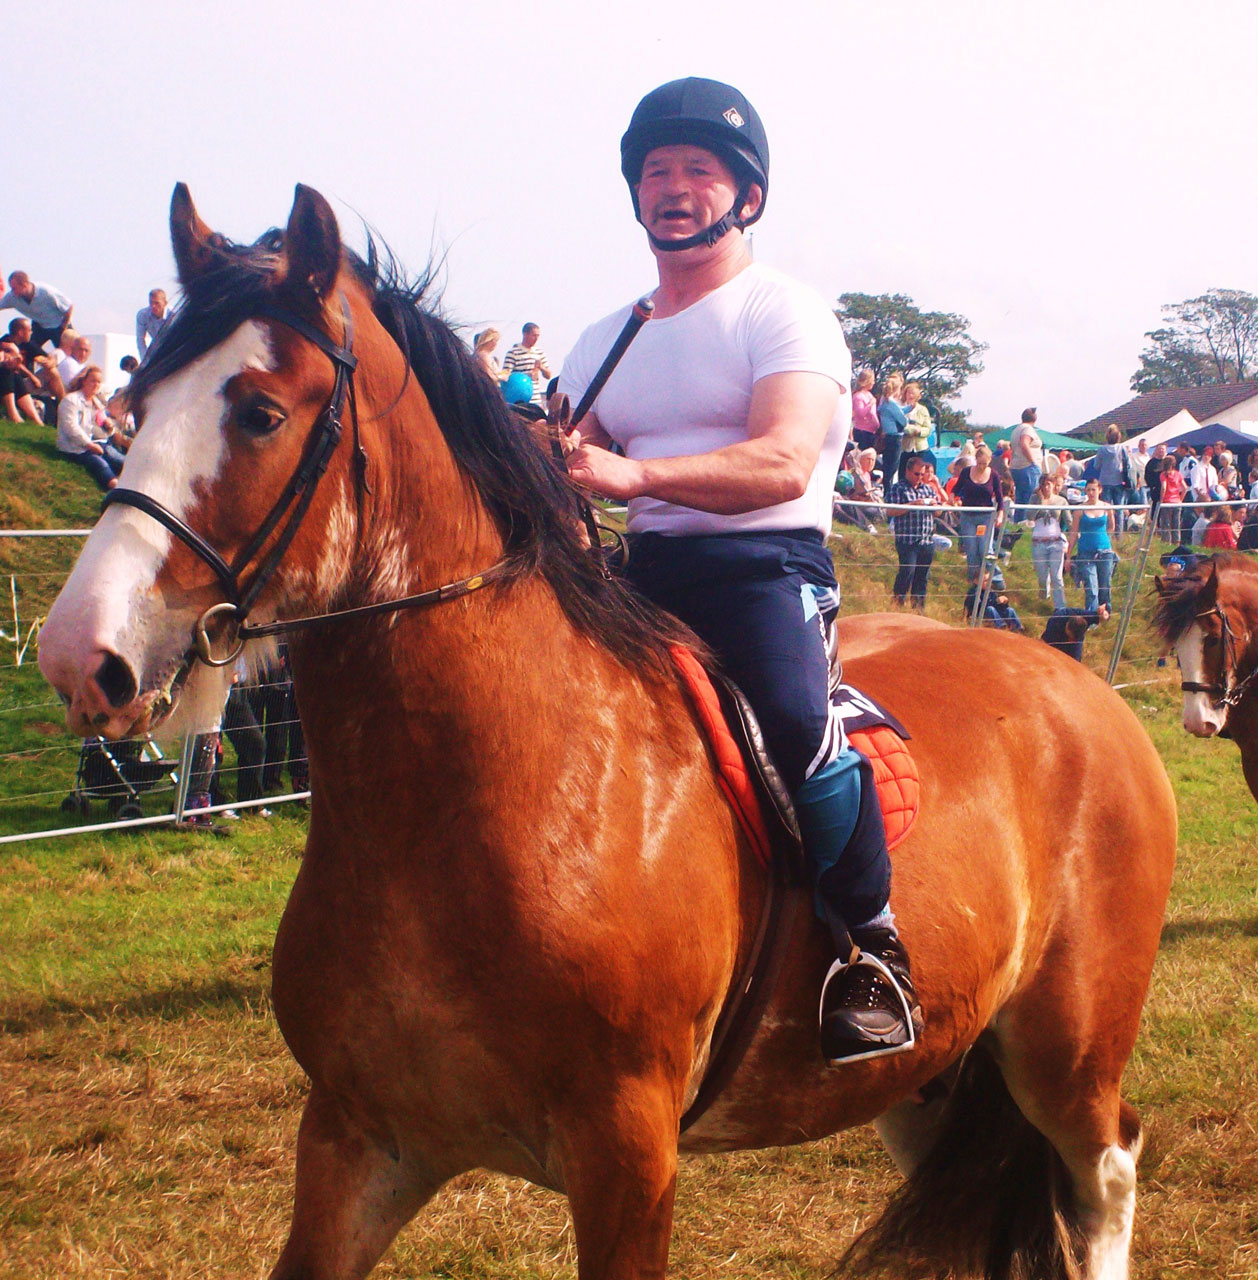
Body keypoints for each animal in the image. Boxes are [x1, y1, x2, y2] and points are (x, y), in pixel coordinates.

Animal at [39, 186, 1182, 1280]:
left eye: (262, 411)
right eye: (135, 405)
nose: (80, 655)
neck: (479, 797)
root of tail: (1082, 692)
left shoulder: (628, 1156)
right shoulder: (359, 1138)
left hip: (1065, 1051)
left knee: (1106, 1171)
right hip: (927, 1071)